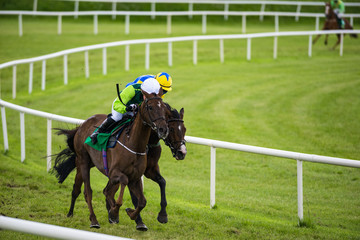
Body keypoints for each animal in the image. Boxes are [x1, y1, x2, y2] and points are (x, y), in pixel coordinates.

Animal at [52, 91, 169, 229]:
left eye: (164, 108)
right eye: (150, 107)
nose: (163, 129)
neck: (133, 143)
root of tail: (82, 125)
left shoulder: (135, 178)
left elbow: (142, 202)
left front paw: (131, 214)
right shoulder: (115, 173)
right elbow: (121, 184)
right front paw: (114, 212)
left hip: (86, 163)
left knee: (78, 188)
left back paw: (71, 213)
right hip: (83, 161)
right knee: (87, 192)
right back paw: (93, 220)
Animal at [129, 103, 186, 231]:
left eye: (184, 129)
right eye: (172, 129)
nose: (182, 152)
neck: (148, 142)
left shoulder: (150, 170)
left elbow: (163, 182)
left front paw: (163, 215)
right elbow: (135, 196)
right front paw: (138, 220)